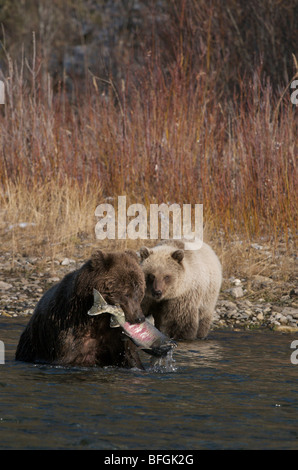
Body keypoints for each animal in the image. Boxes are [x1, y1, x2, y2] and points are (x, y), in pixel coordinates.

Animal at [15, 252, 146, 370]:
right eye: (127, 293)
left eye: (139, 292)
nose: (139, 318)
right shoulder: (71, 330)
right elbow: (72, 355)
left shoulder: (116, 338)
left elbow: (130, 358)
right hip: (33, 344)